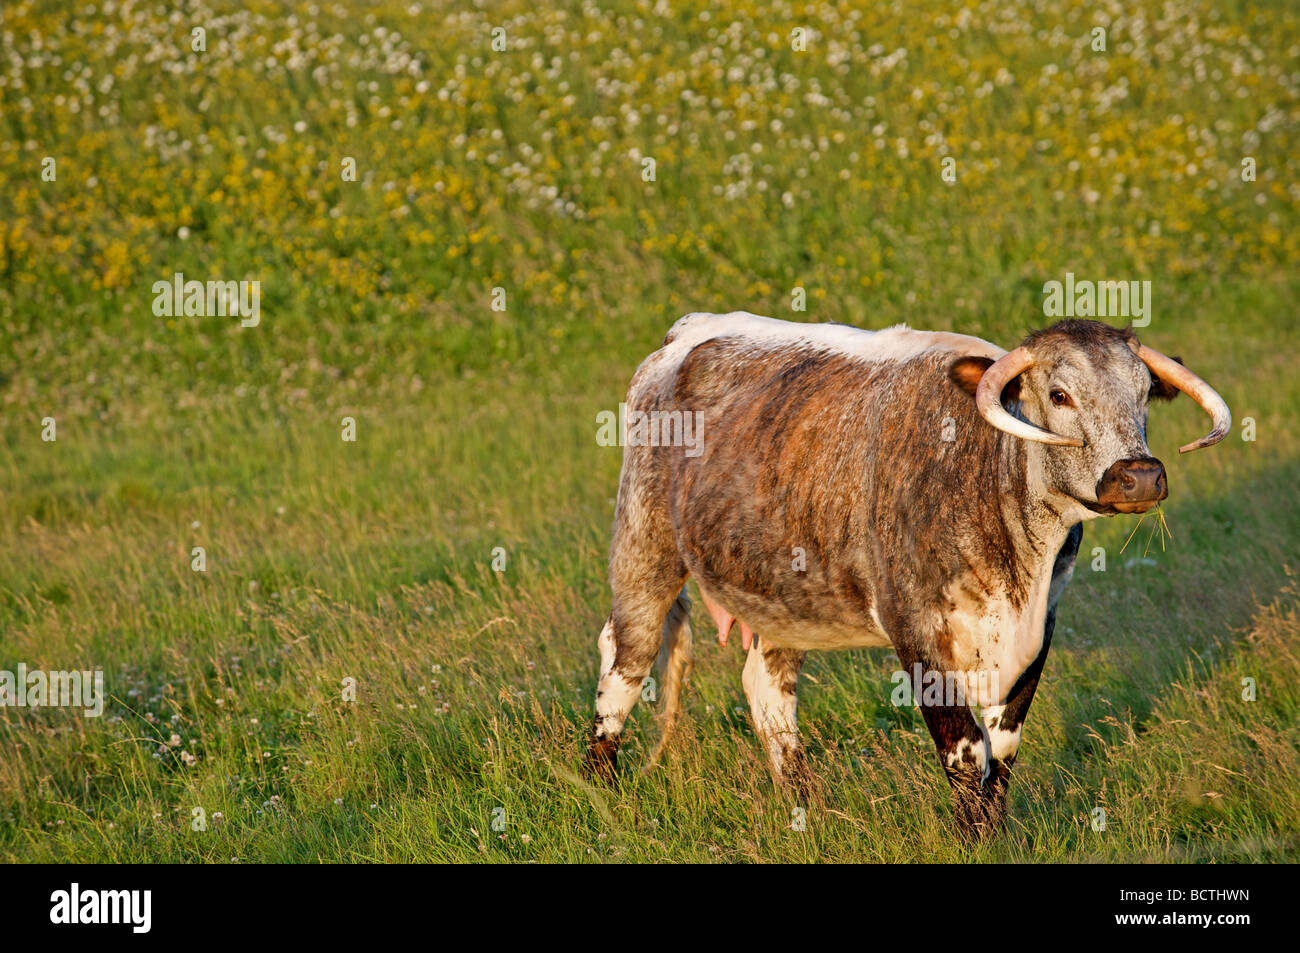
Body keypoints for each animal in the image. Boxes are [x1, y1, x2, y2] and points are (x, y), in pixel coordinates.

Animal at [581, 311, 1231, 838]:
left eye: (1144, 393)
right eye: (1060, 393)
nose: (1139, 476)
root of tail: (684, 333)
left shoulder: (1043, 621)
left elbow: (1004, 748)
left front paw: (993, 835)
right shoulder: (914, 626)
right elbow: (966, 750)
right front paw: (972, 841)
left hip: (785, 593)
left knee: (767, 690)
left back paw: (806, 807)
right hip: (644, 547)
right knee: (626, 663)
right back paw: (598, 789)